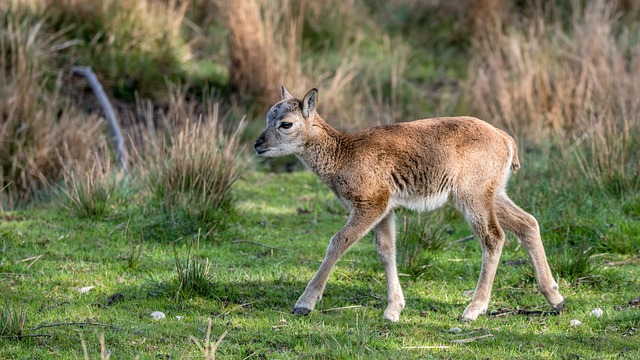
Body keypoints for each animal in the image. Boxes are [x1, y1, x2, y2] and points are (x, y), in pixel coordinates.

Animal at [252, 86, 564, 320]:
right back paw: (556, 298)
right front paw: (394, 309)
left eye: (286, 124)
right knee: (527, 223)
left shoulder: (371, 203)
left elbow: (338, 241)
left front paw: (304, 304)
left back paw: (473, 310)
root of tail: (507, 140)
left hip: (473, 196)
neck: (343, 155)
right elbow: (386, 250)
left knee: (494, 237)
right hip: (494, 192)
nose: (258, 145)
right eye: (268, 116)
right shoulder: (386, 209)